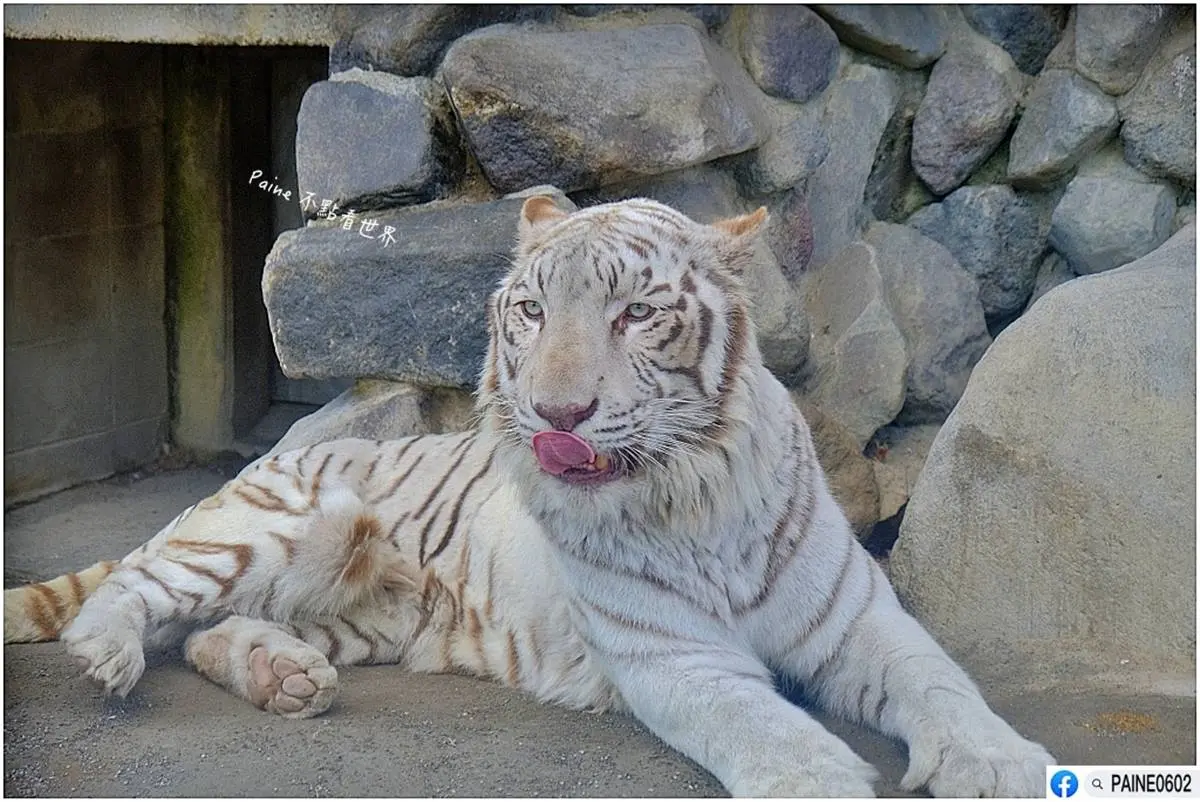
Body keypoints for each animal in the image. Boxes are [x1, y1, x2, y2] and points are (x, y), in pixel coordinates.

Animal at [4, 196, 1054, 797]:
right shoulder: (674, 656)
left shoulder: (862, 621)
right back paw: (107, 654)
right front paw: (826, 782)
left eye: (637, 313)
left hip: (367, 618)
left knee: (205, 632)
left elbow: (943, 685)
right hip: (275, 527)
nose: (557, 413)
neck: (693, 498)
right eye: (532, 311)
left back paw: (283, 675)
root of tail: (251, 468)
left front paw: (1004, 765)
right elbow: (764, 728)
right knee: (136, 592)